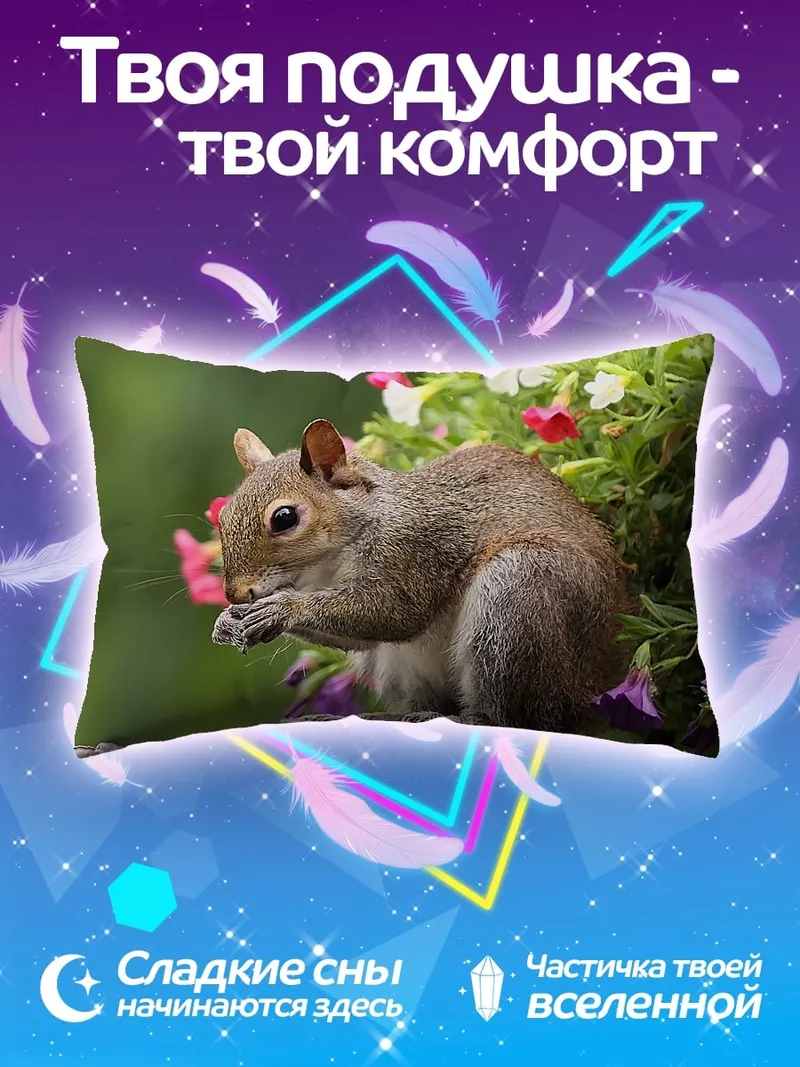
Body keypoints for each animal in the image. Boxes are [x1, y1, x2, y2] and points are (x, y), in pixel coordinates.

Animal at [212, 419, 630, 732]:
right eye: (223, 515)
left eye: (284, 518)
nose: (235, 594)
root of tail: (591, 684)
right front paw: (227, 622)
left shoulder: (415, 551)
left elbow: (395, 614)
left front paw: (280, 610)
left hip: (517, 595)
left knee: (513, 719)